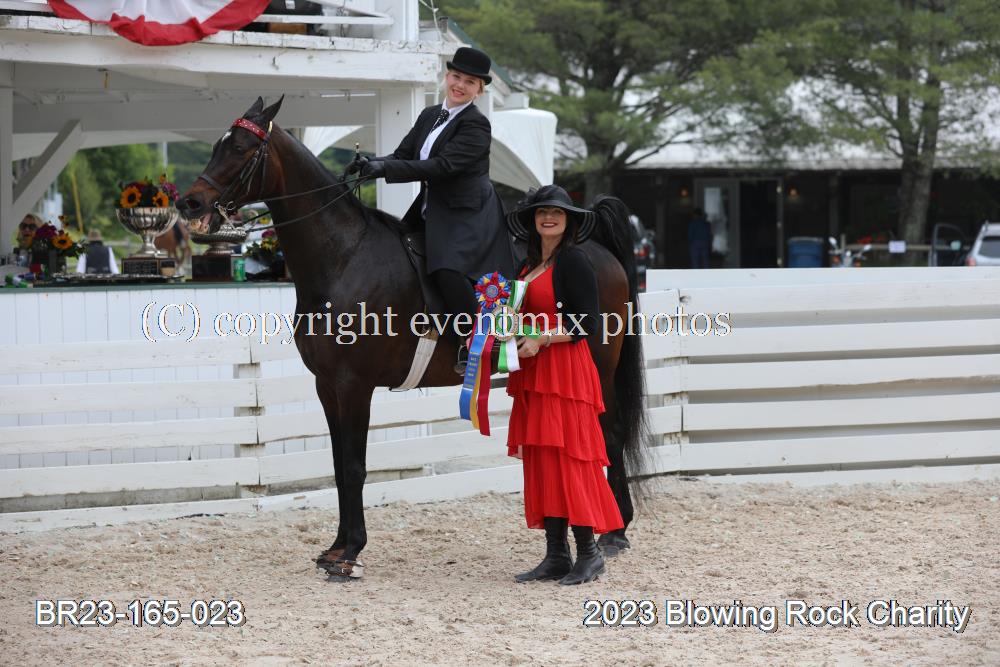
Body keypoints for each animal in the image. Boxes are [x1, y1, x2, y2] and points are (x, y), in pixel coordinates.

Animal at [177, 96, 648, 580]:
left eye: (241, 148)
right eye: (217, 144)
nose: (189, 201)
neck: (344, 257)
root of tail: (597, 250)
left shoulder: (354, 384)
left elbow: (354, 466)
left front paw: (351, 552)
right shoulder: (327, 385)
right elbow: (338, 466)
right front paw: (335, 548)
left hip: (598, 363)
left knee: (609, 433)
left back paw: (615, 532)